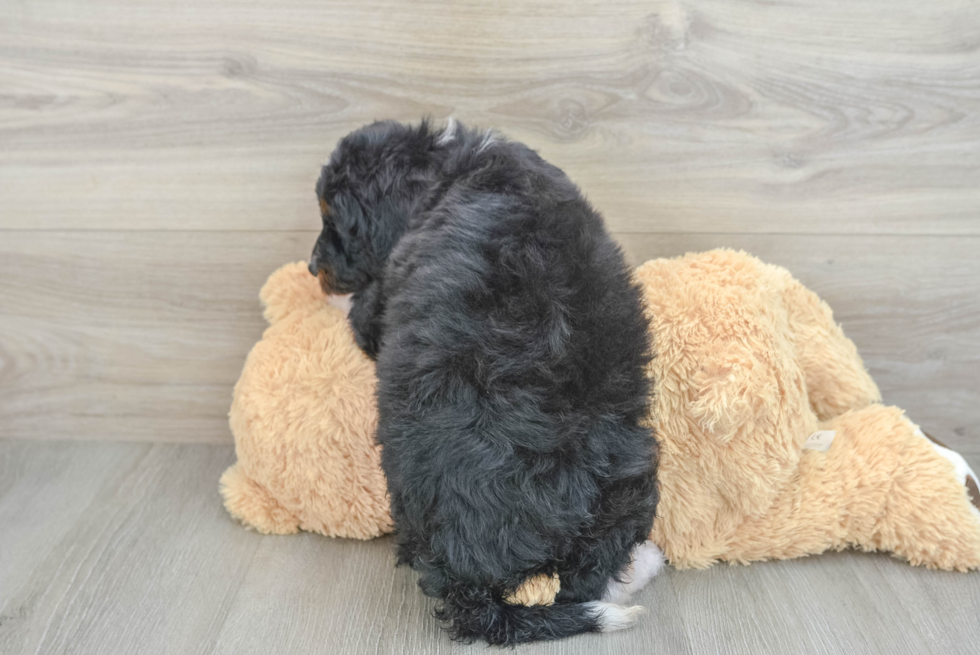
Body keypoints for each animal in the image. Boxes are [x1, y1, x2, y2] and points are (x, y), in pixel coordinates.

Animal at [308, 119, 660, 644]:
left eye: (335, 219)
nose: (312, 268)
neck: (446, 165)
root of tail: (469, 582)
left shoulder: (380, 301)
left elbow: (361, 306)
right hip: (629, 470)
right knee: (585, 579)